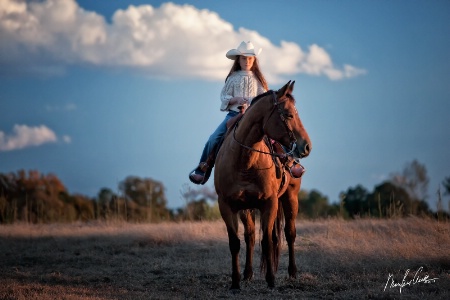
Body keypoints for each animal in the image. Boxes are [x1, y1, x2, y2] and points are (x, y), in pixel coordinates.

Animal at [214, 80, 312, 288]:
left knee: (289, 233)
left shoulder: (269, 203)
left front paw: (271, 280)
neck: (244, 161)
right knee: (250, 236)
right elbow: (235, 242)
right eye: (288, 114)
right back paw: (248, 273)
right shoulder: (226, 205)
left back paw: (292, 272)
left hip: (290, 198)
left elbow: (267, 241)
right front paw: (235, 283)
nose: (307, 146)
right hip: (246, 208)